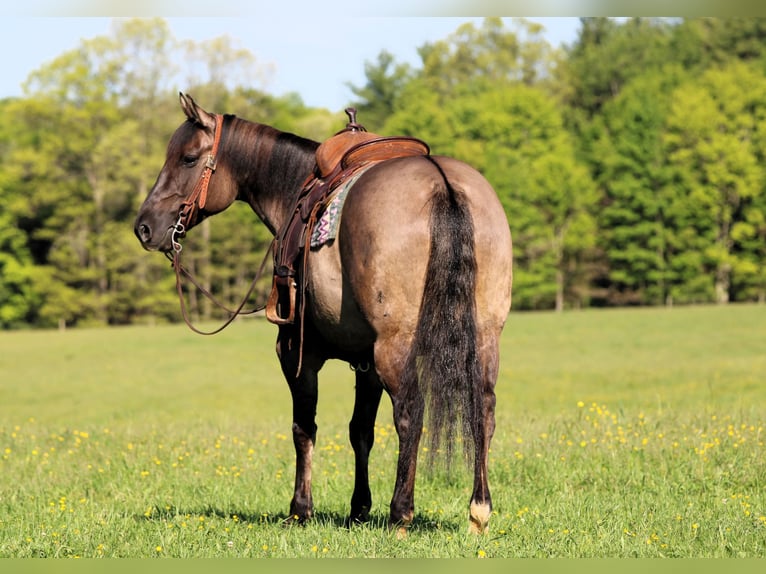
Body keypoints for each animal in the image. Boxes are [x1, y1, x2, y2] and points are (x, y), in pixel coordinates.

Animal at [134, 93, 512, 535]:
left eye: (189, 158)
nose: (144, 227)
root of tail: (443, 184)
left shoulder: (298, 353)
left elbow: (304, 428)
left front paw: (301, 508)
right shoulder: (365, 362)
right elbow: (360, 430)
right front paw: (358, 508)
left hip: (395, 347)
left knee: (411, 414)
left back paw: (401, 513)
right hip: (483, 338)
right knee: (483, 411)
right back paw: (478, 511)